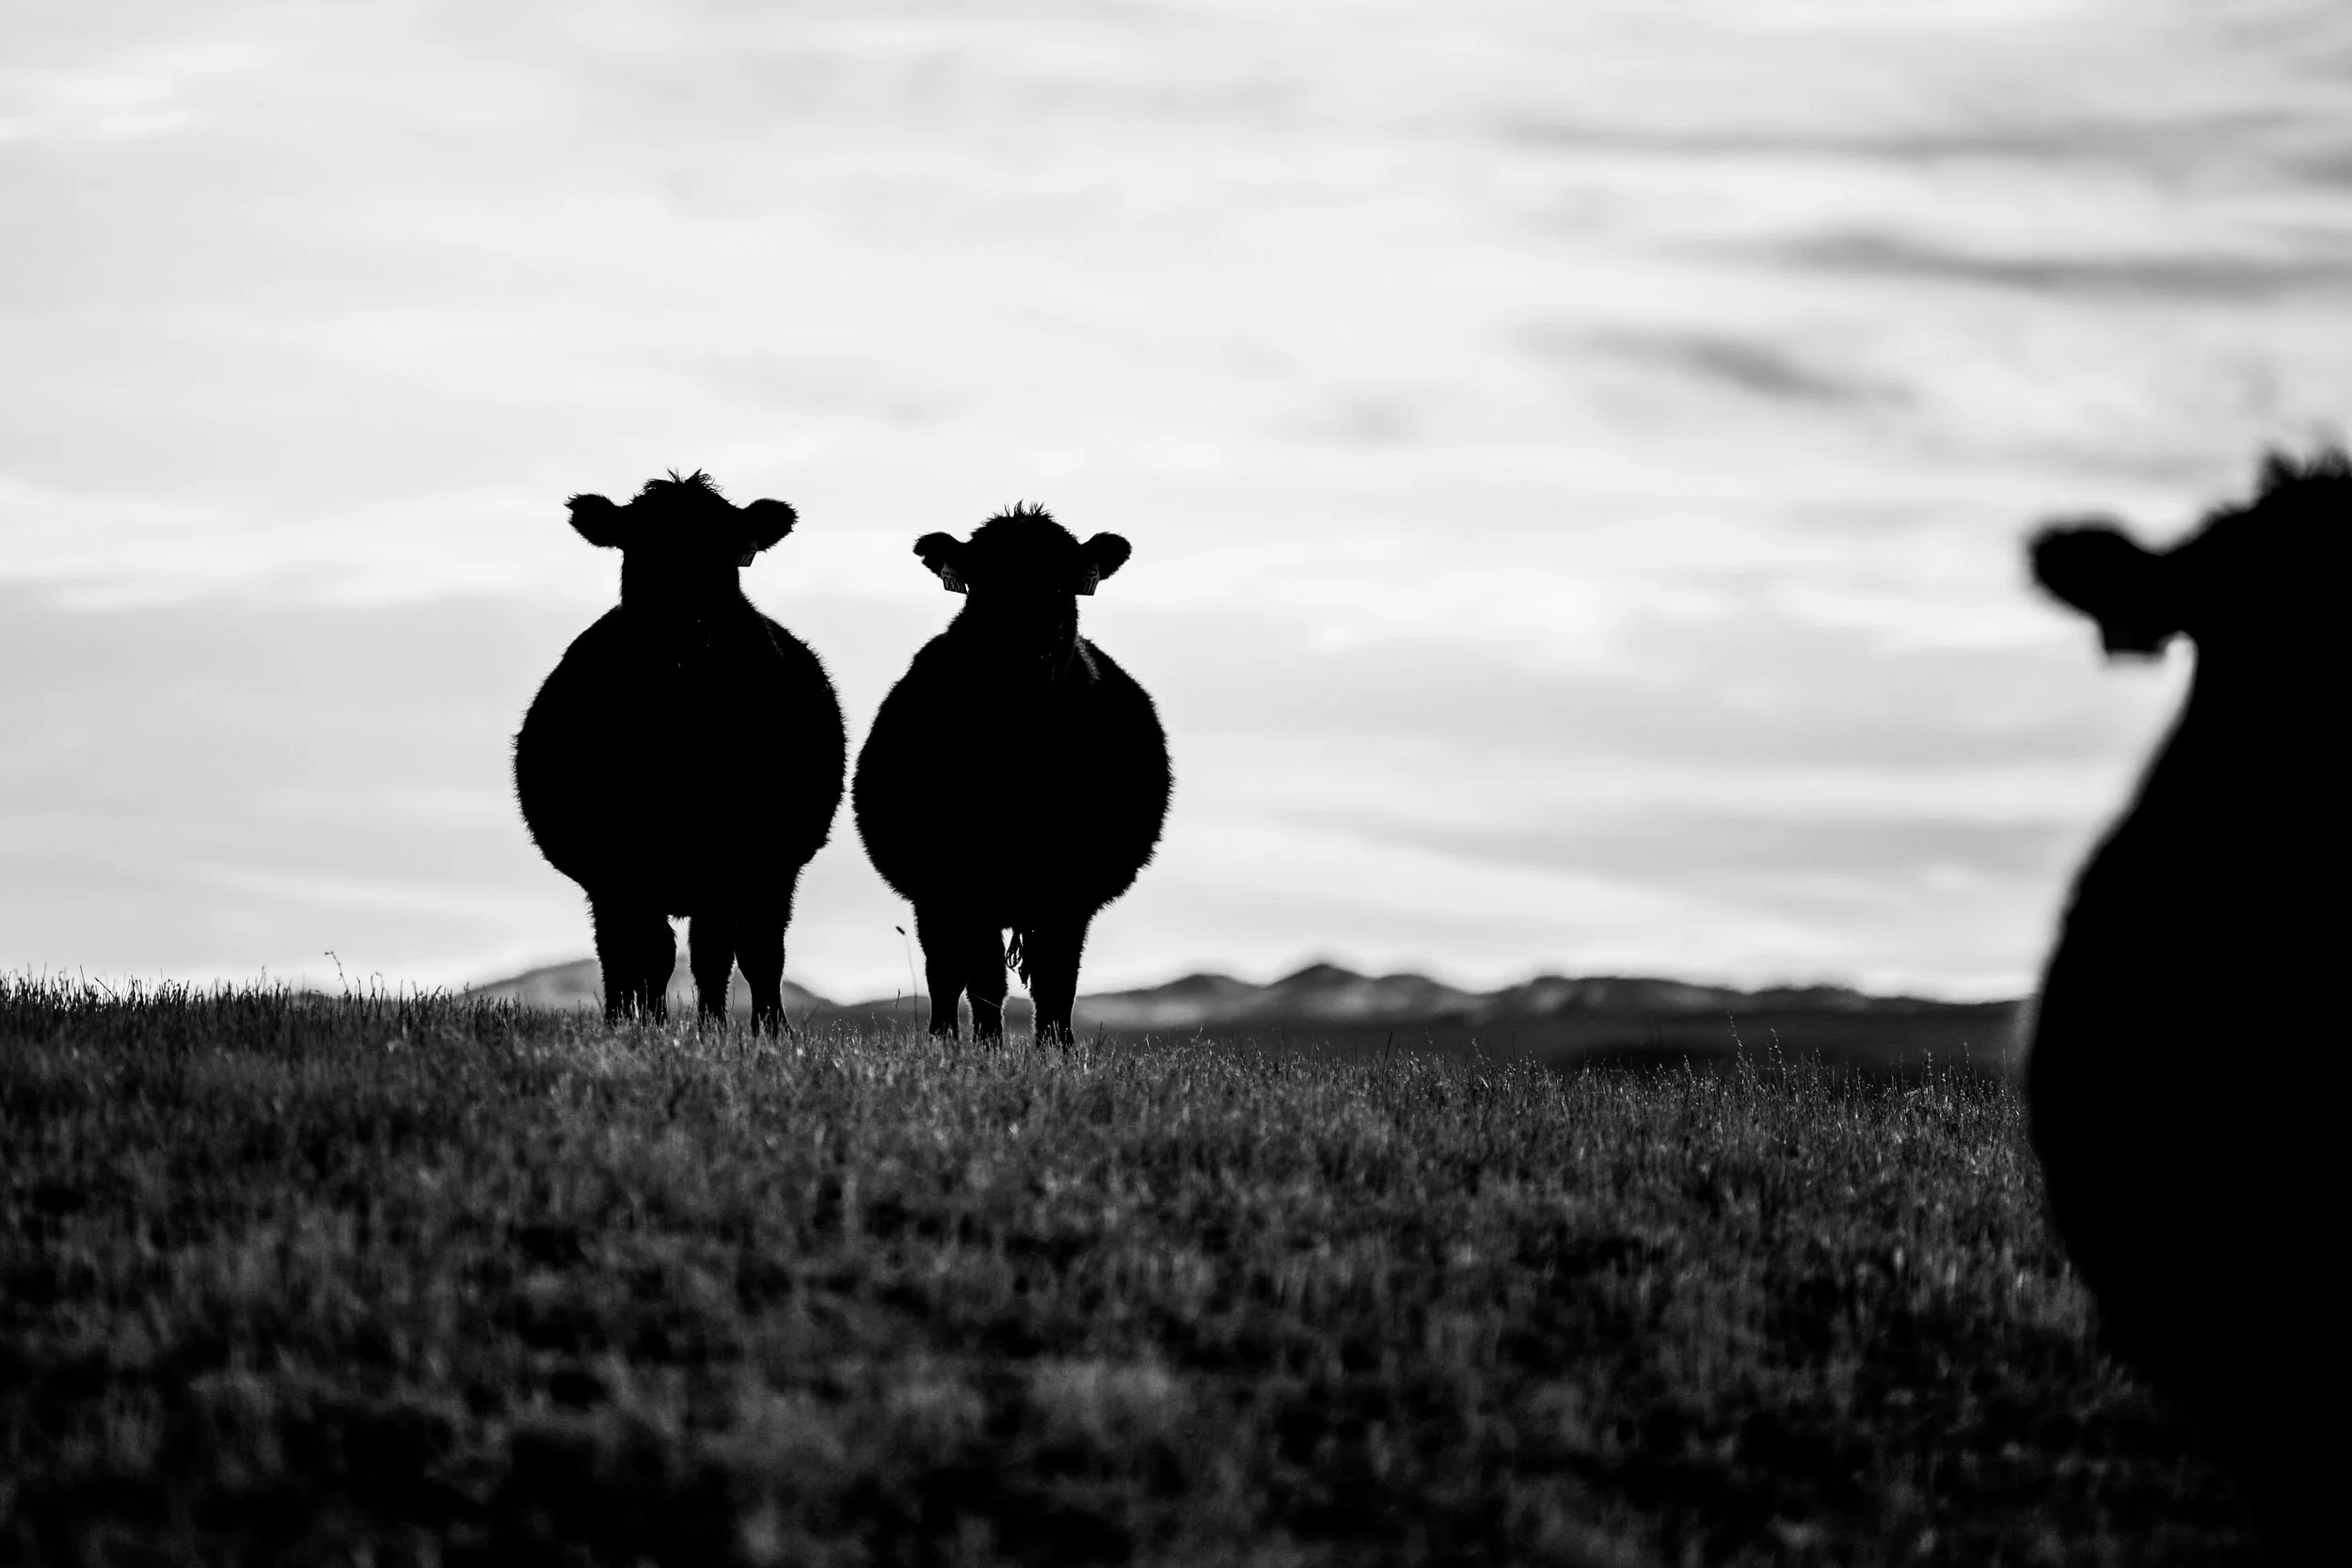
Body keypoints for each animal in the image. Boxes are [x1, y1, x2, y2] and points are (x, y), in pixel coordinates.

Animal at [513, 470, 845, 1031]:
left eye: (726, 550)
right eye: (637, 546)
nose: (684, 623)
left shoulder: (759, 856)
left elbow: (740, 951)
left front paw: (753, 1032)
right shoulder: (623, 858)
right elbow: (651, 953)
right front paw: (654, 1028)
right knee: (621, 951)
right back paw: (624, 1020)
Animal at [853, 504, 1171, 1043]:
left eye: (1061, 585)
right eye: (982, 583)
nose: (1028, 646)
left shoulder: (1071, 886)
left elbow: (1056, 979)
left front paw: (1057, 1049)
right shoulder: (961, 878)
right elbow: (981, 980)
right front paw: (984, 1049)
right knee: (947, 972)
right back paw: (945, 1037)